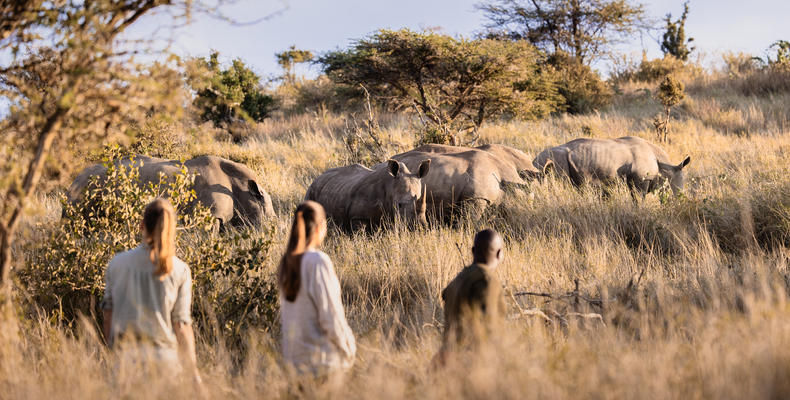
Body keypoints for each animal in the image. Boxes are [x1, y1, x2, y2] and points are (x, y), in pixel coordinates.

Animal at [532, 136, 691, 195]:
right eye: (675, 187)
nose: (680, 199)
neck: (664, 165)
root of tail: (534, 160)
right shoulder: (641, 180)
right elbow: (639, 199)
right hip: (554, 159)